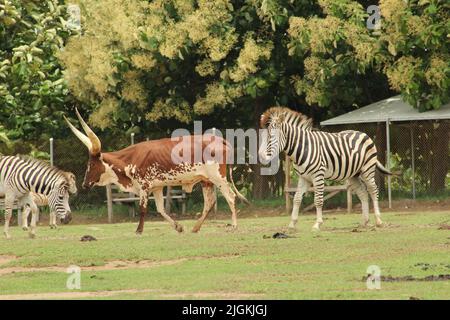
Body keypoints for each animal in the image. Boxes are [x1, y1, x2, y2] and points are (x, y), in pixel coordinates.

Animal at [63, 109, 248, 232]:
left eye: (92, 165)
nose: (84, 184)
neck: (129, 160)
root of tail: (220, 140)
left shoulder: (144, 186)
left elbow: (143, 208)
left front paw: (138, 230)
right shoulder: (157, 187)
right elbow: (160, 209)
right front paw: (178, 227)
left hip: (218, 177)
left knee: (230, 197)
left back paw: (234, 225)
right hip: (206, 180)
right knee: (209, 202)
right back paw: (195, 228)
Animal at [258, 107, 392, 230]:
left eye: (271, 137)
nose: (261, 156)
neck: (302, 149)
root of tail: (363, 133)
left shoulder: (318, 175)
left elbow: (318, 199)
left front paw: (317, 224)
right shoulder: (304, 177)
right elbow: (297, 199)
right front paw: (292, 223)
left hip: (367, 170)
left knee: (373, 190)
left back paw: (378, 220)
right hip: (353, 175)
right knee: (363, 193)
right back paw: (365, 222)